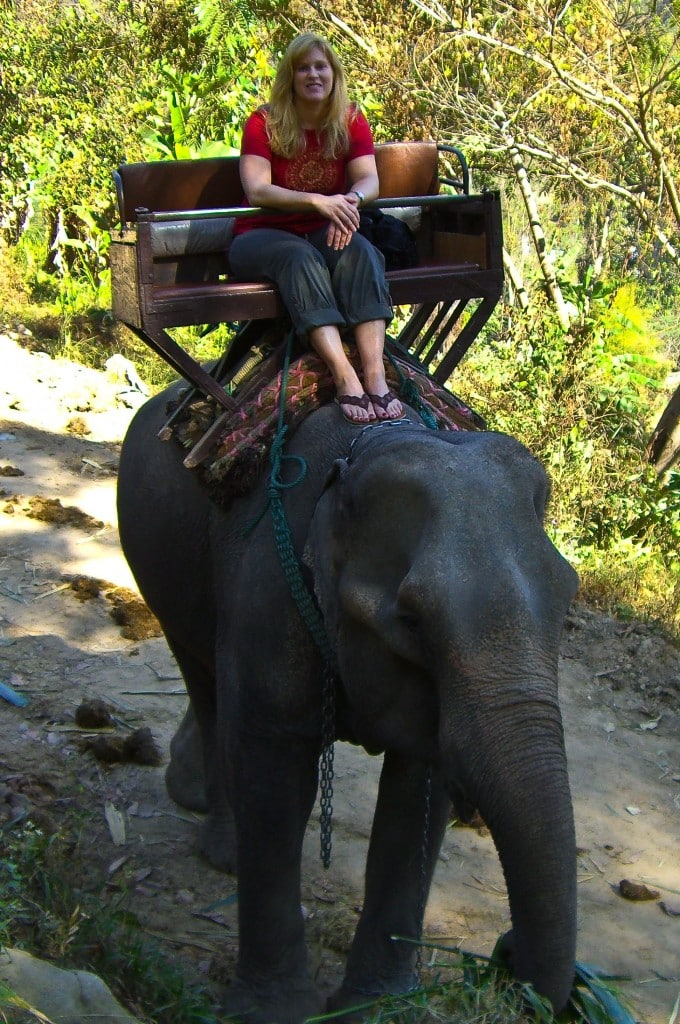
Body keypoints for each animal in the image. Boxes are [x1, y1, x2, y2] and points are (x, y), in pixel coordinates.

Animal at [117, 384, 580, 1024]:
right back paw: (224, 851)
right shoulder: (272, 580)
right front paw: (275, 1011)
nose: (503, 953)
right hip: (157, 564)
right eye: (411, 620)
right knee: (207, 685)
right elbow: (272, 766)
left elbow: (417, 794)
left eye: (569, 600)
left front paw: (376, 1005)